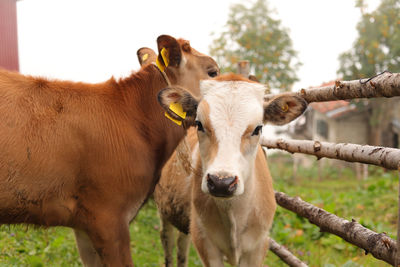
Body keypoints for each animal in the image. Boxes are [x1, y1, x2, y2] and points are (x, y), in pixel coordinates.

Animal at [155, 74, 308, 267]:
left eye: (258, 128)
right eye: (199, 124)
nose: (221, 182)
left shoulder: (258, 246)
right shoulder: (206, 243)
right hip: (164, 211)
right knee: (168, 242)